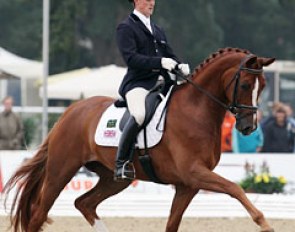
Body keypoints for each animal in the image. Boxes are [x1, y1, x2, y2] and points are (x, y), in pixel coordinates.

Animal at [4, 47, 276, 232]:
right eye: (245, 85)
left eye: (263, 86)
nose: (248, 127)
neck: (196, 110)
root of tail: (70, 111)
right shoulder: (194, 173)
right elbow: (235, 188)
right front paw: (264, 223)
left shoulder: (187, 185)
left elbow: (172, 225)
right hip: (61, 170)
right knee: (39, 214)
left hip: (114, 178)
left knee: (85, 203)